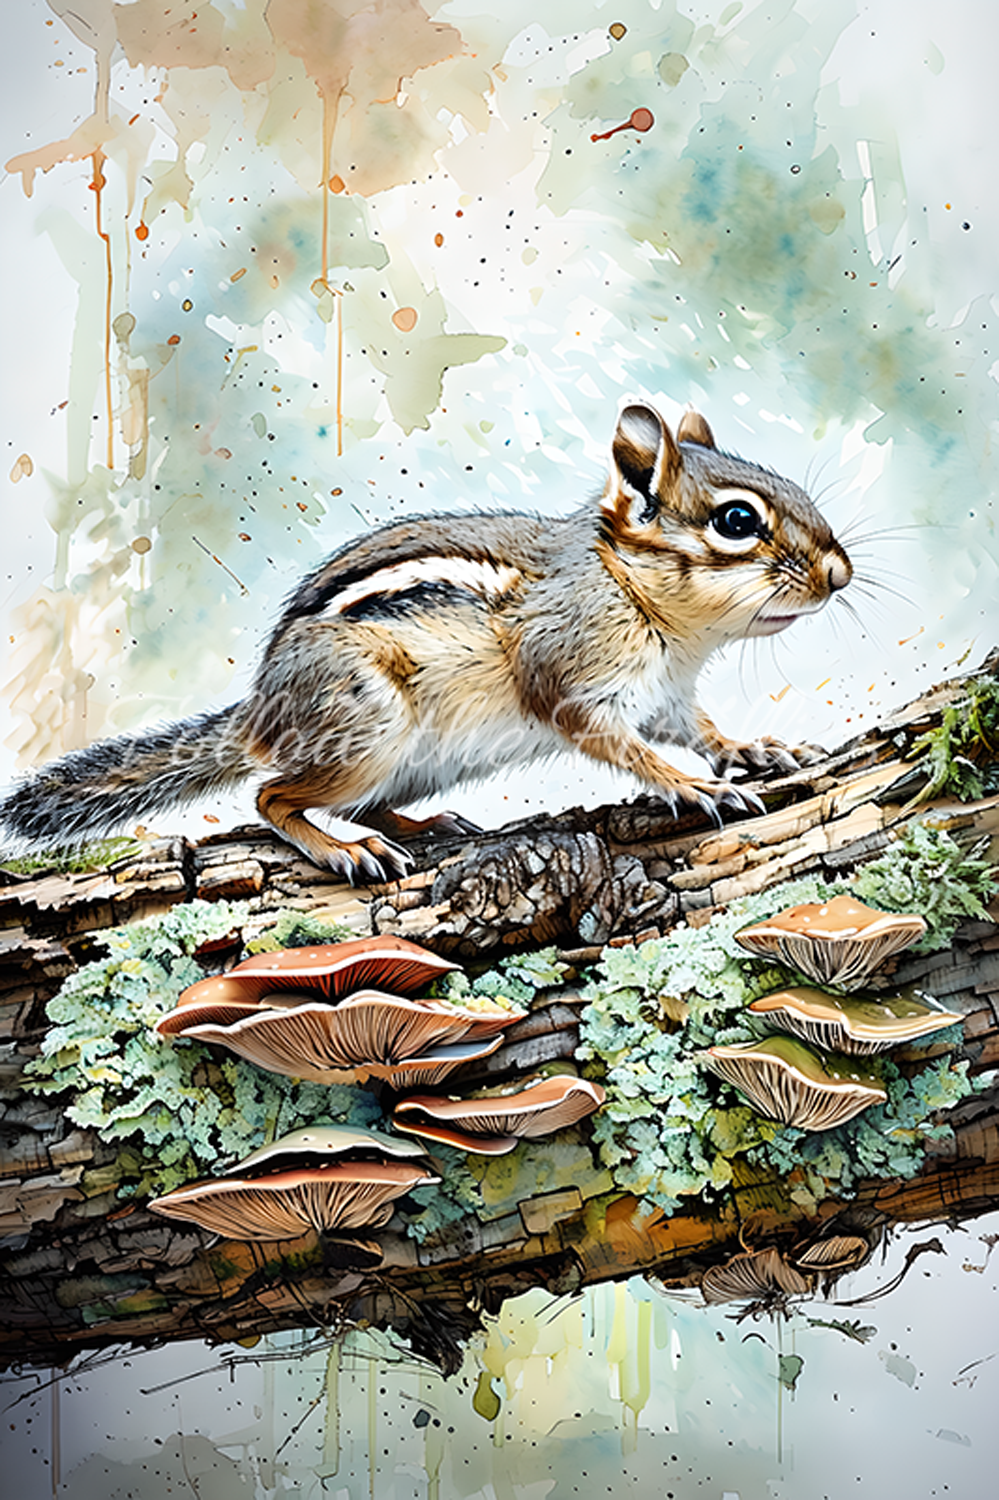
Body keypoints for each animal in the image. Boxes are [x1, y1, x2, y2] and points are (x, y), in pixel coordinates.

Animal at [0, 403, 851, 882]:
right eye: (736, 520)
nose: (838, 573)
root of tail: (258, 713)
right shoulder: (572, 678)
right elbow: (623, 745)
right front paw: (695, 787)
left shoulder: (666, 694)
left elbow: (697, 729)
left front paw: (754, 750)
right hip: (366, 728)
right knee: (272, 796)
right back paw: (343, 850)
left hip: (412, 762)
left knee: (370, 805)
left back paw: (423, 827)